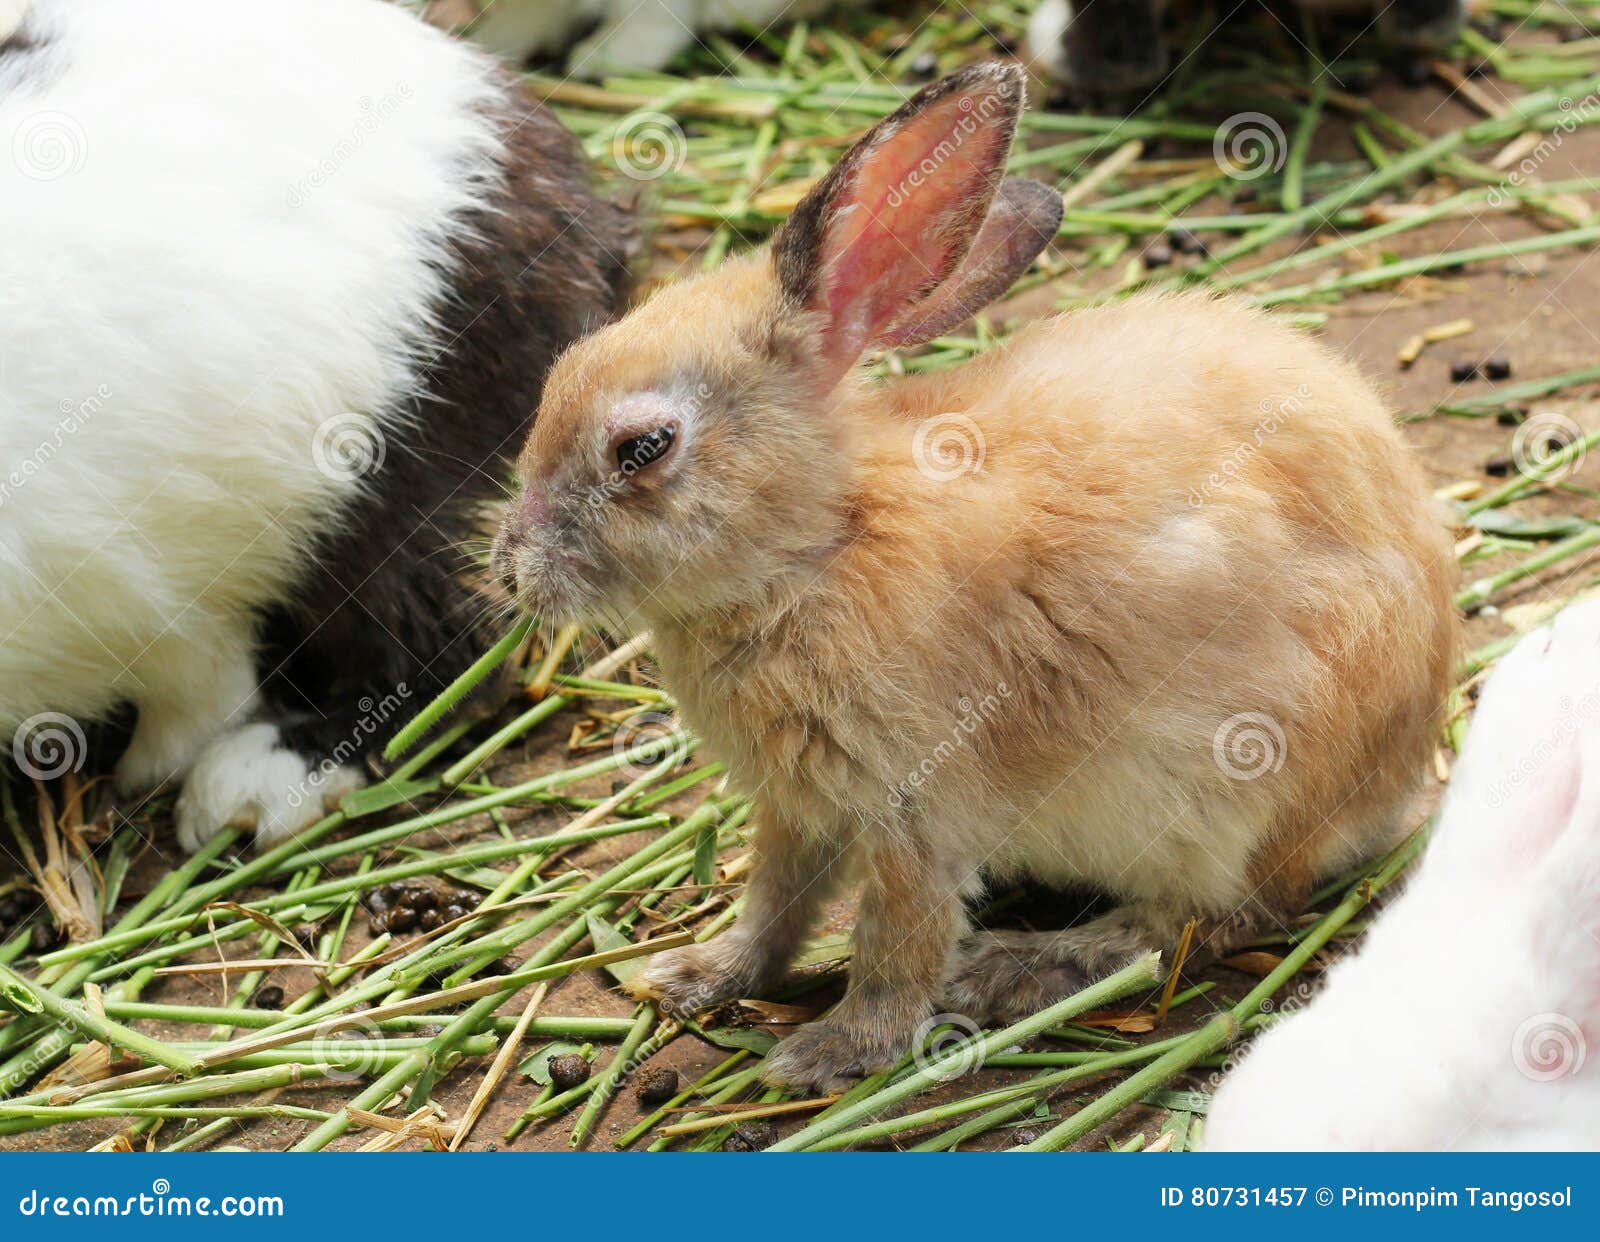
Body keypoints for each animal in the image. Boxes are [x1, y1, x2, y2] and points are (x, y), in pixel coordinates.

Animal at [491, 60, 1458, 1091]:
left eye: (643, 448)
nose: (511, 570)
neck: (824, 544)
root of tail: (1399, 773)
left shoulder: (915, 810)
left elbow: (898, 941)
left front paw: (832, 1053)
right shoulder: (799, 810)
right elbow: (775, 906)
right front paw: (693, 976)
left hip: (1240, 791)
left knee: (1211, 916)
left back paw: (1026, 967)